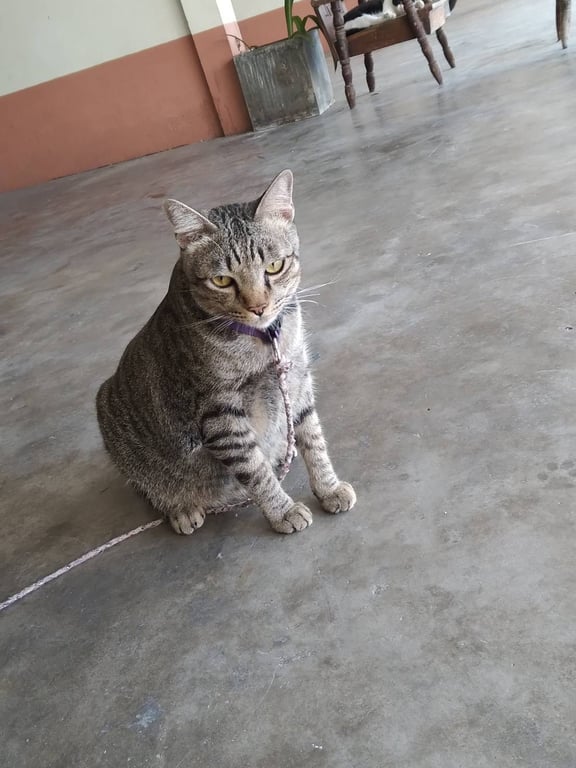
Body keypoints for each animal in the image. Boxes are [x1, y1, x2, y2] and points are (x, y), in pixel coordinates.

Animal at [96, 170, 356, 535]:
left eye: (274, 266)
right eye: (221, 280)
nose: (258, 307)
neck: (265, 341)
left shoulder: (297, 379)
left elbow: (312, 438)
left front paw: (329, 488)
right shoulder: (220, 414)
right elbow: (256, 470)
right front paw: (282, 511)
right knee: (152, 488)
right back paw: (182, 508)